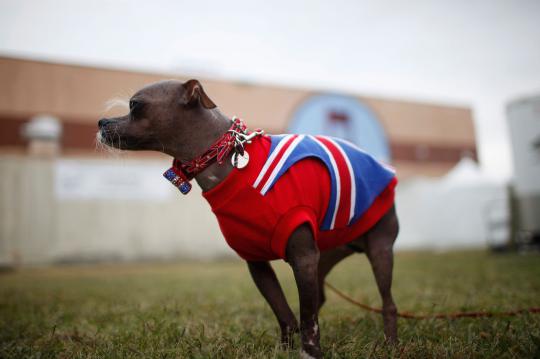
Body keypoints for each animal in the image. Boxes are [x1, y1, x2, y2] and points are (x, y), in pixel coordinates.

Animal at [99, 79, 398, 359]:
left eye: (135, 105)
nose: (102, 122)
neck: (224, 160)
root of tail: (383, 167)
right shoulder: (257, 263)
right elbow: (286, 314)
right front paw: (286, 349)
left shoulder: (302, 257)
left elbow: (307, 318)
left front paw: (310, 352)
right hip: (323, 257)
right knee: (316, 299)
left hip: (378, 249)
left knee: (386, 303)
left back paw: (390, 343)